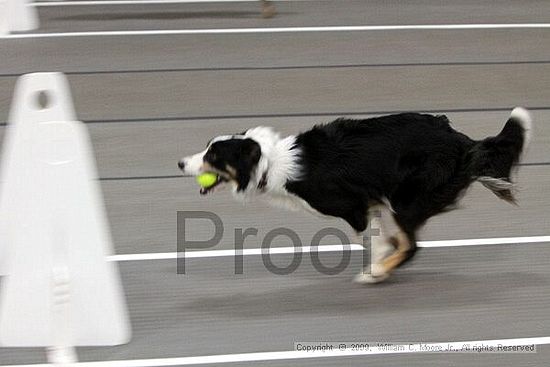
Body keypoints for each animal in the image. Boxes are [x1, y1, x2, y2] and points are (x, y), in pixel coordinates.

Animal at [181, 108, 536, 284]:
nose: (180, 163)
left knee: (412, 245)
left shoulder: (354, 206)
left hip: (406, 199)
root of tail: (462, 140)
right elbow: (381, 238)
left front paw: (378, 266)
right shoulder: (373, 202)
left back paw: (376, 274)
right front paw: (384, 255)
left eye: (213, 156)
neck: (270, 161)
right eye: (207, 147)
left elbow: (375, 240)